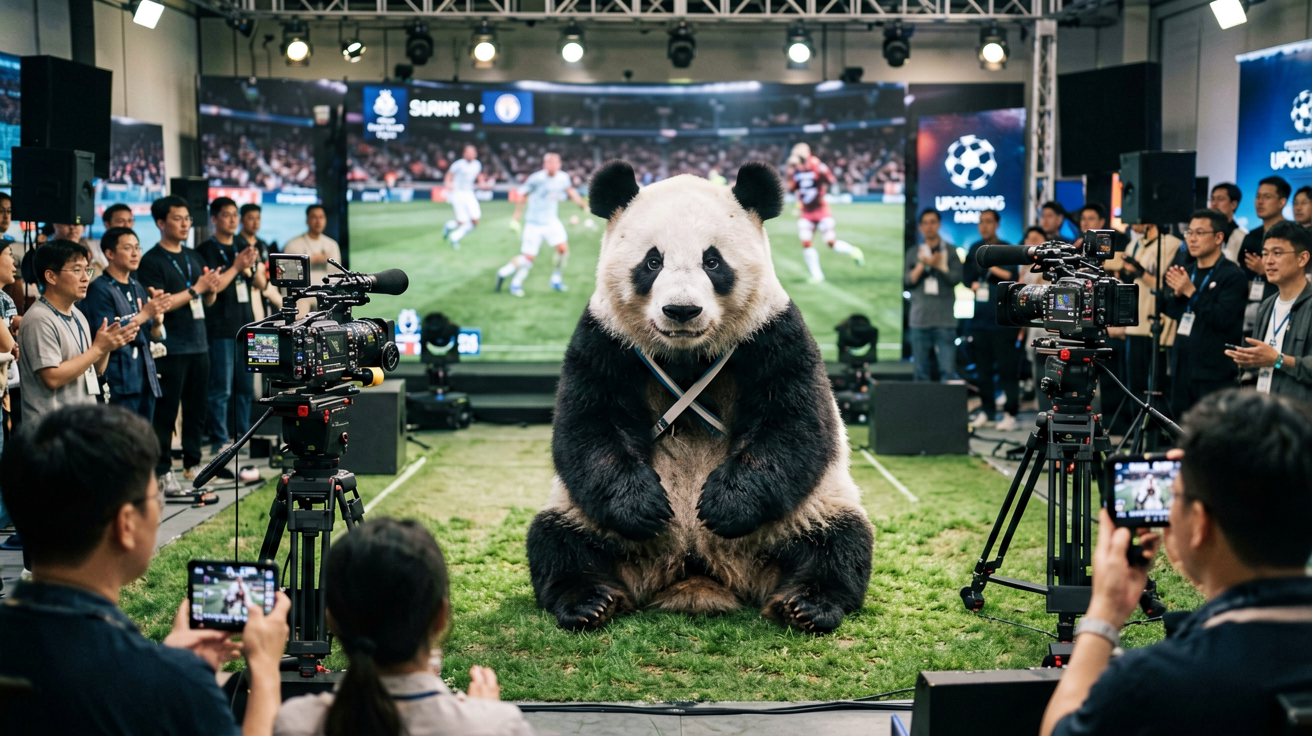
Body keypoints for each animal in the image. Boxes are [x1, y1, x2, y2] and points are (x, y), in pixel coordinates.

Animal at [526, 160, 874, 634]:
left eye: (713, 261)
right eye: (652, 261)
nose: (681, 311)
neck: (685, 356)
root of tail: (696, 570)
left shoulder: (771, 332)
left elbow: (796, 423)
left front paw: (726, 504)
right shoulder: (605, 338)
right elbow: (588, 426)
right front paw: (642, 505)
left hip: (808, 510)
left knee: (838, 543)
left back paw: (807, 603)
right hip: (582, 515)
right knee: (558, 542)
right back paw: (589, 600)